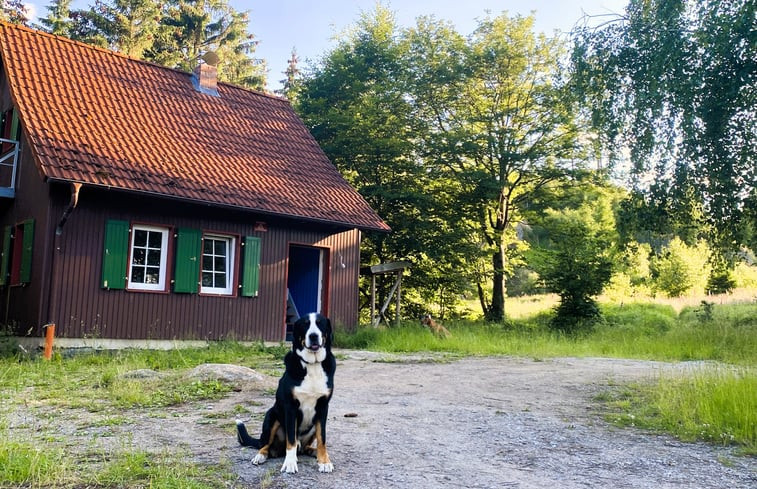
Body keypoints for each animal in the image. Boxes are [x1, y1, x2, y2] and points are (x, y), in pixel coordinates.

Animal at [233, 312, 334, 472]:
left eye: (320, 323)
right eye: (305, 324)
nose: (313, 335)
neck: (312, 365)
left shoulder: (323, 408)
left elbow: (322, 438)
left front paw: (324, 461)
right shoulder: (290, 407)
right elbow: (291, 440)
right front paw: (290, 463)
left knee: (304, 447)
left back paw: (313, 451)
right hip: (272, 416)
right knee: (266, 445)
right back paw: (260, 456)